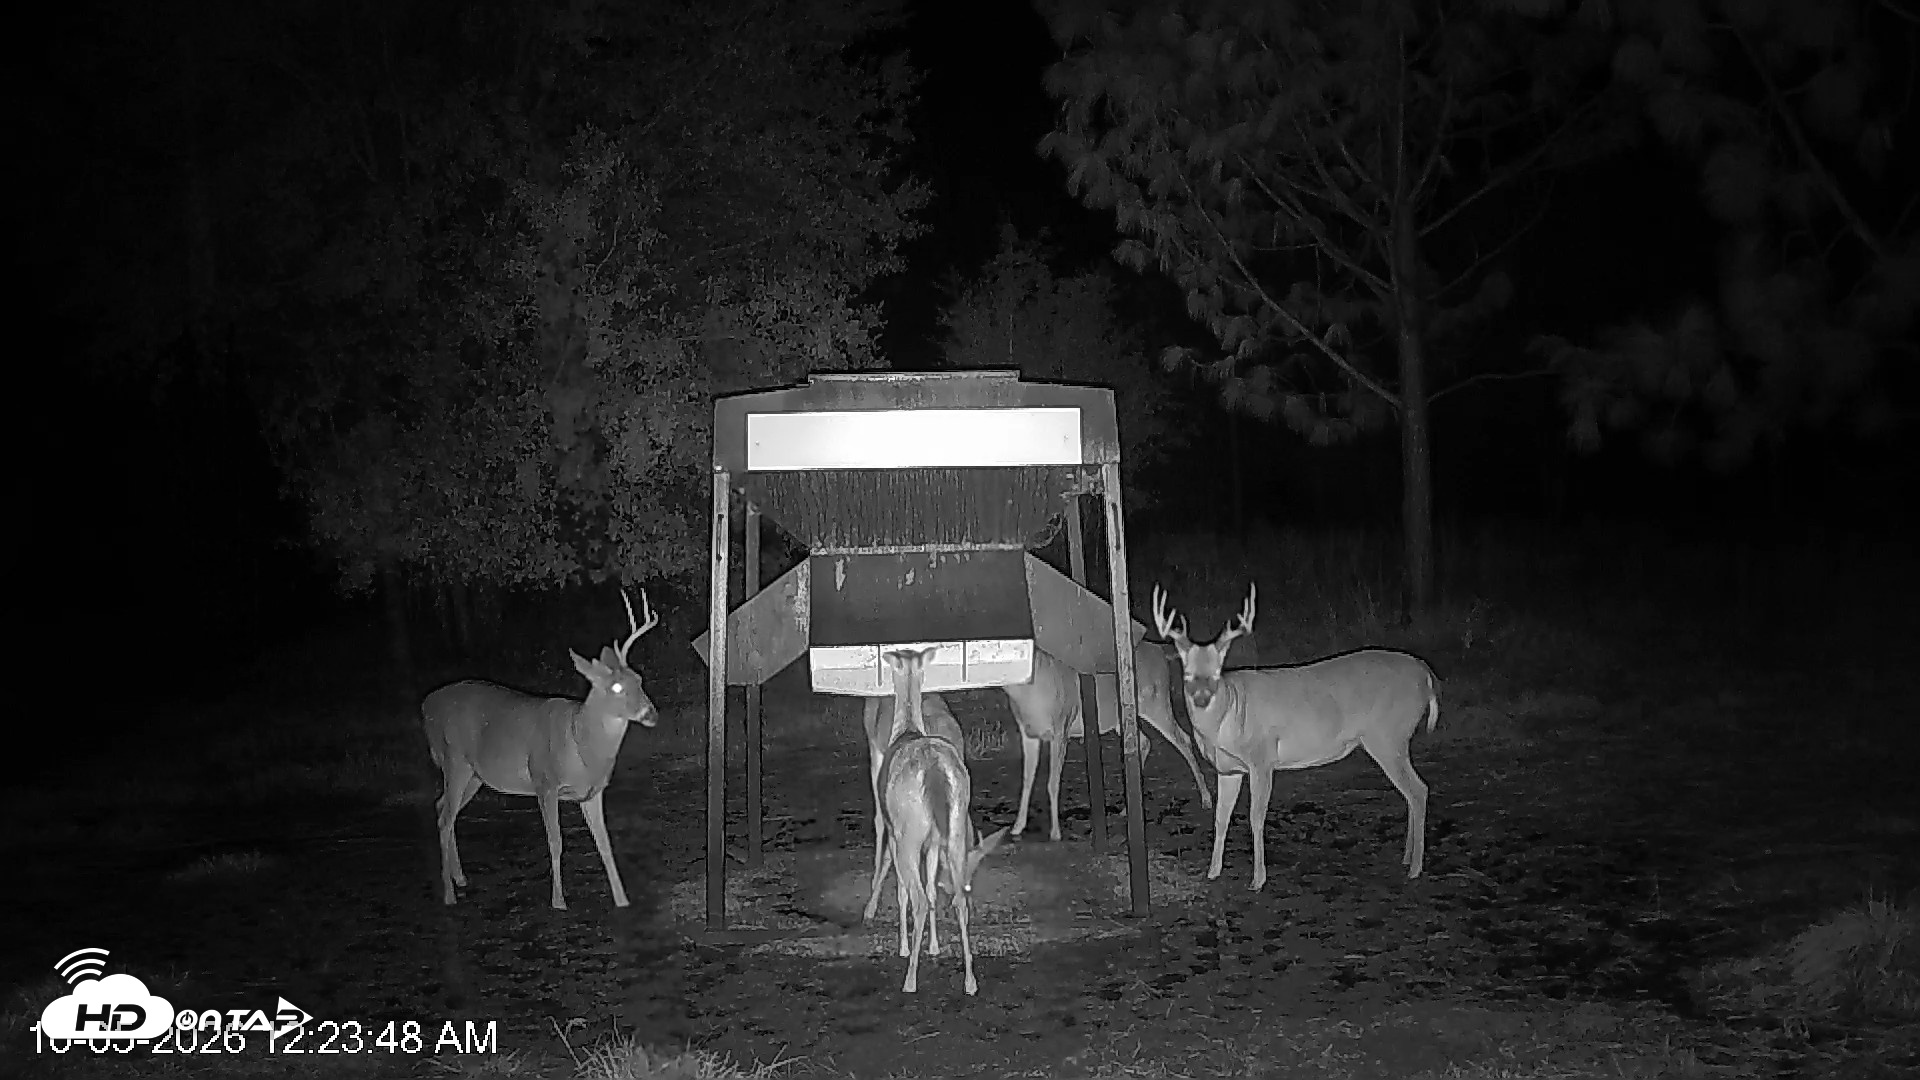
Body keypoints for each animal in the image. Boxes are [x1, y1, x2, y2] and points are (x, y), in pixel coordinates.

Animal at [421, 586, 658, 910]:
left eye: (639, 679)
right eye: (617, 688)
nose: (651, 714)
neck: (581, 747)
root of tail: (425, 705)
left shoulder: (592, 792)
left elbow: (605, 844)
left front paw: (622, 900)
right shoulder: (544, 781)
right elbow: (556, 842)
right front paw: (558, 901)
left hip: (475, 775)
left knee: (442, 806)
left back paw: (459, 878)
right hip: (454, 760)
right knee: (445, 817)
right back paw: (448, 893)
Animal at [875, 647, 1008, 994]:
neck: (906, 730)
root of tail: (934, 771)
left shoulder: (895, 832)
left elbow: (905, 891)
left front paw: (905, 948)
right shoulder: (935, 840)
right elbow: (935, 888)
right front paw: (934, 946)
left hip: (909, 833)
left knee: (918, 898)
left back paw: (910, 979)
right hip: (957, 826)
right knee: (960, 896)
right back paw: (971, 982)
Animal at [1003, 643, 1212, 842]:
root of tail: (1160, 651)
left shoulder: (1061, 727)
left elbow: (1052, 782)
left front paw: (1055, 833)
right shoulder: (1028, 733)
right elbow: (1027, 780)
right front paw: (1017, 827)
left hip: (1157, 702)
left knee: (1184, 739)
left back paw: (1206, 799)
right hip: (1124, 718)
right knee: (1146, 741)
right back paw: (1127, 809)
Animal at [1151, 584, 1439, 890]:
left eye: (1218, 669)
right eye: (1186, 670)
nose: (1201, 696)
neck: (1227, 717)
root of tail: (1427, 675)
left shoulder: (1262, 758)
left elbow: (1256, 817)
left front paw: (1258, 880)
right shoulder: (1228, 768)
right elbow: (1221, 817)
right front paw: (1213, 871)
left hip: (1387, 736)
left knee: (1418, 790)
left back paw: (1415, 868)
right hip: (1394, 739)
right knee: (1411, 792)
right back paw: (1407, 858)